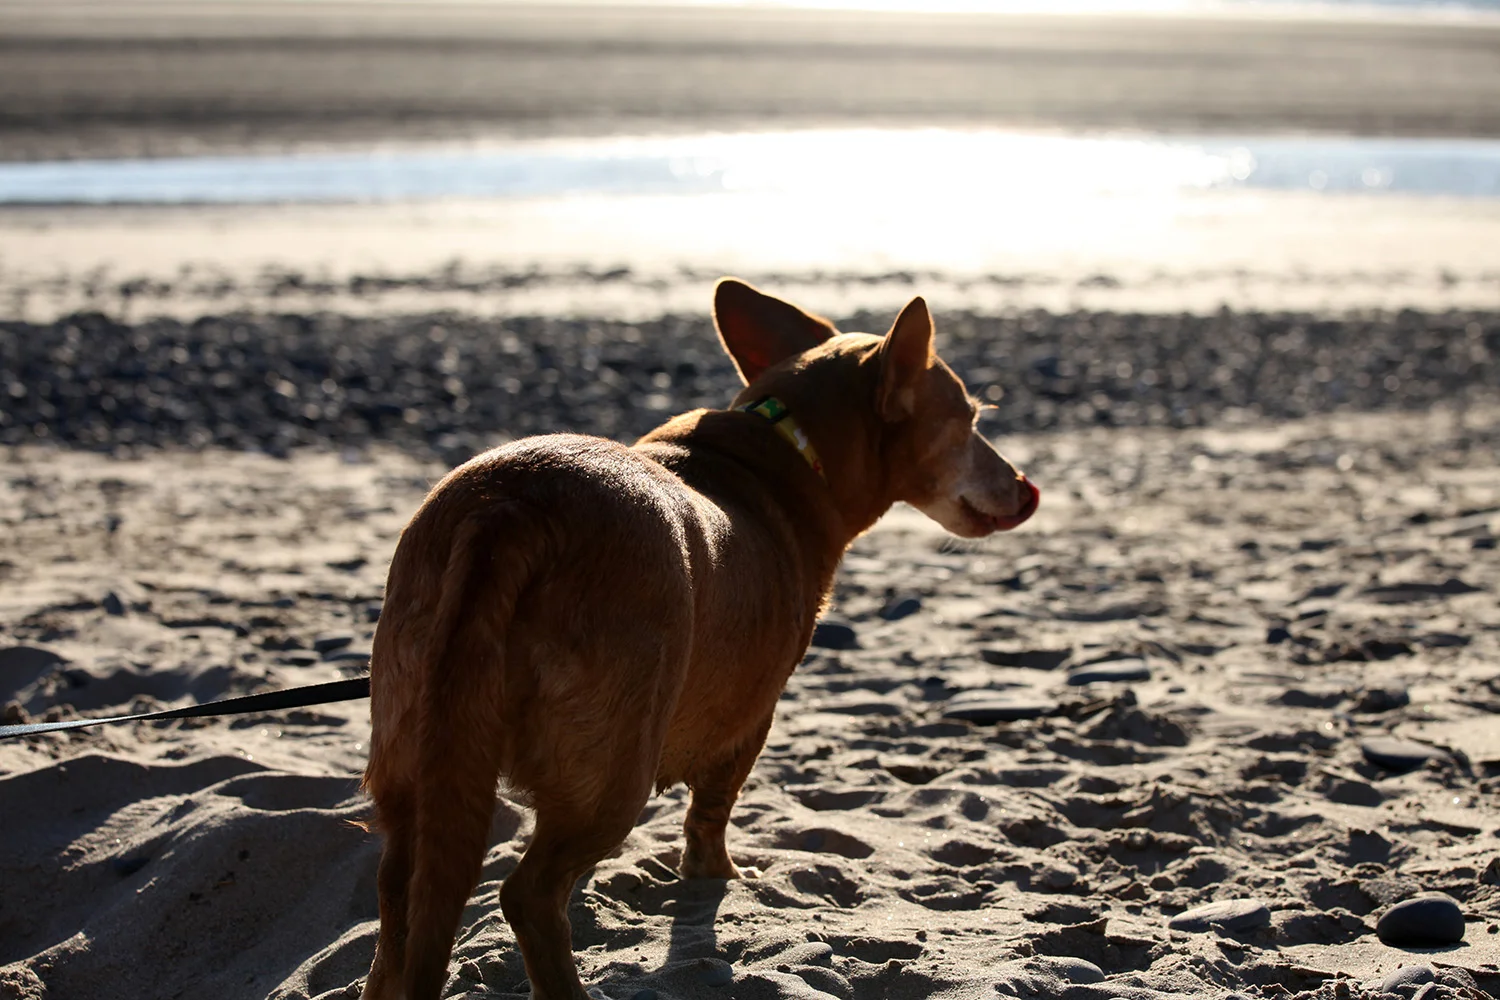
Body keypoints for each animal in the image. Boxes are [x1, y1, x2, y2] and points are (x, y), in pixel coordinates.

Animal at [359, 279, 1039, 1000]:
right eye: (969, 421)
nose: (1028, 490)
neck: (790, 443)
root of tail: (510, 509)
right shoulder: (750, 720)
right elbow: (711, 814)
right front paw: (719, 879)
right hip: (612, 773)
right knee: (530, 895)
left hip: (419, 755)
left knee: (401, 898)